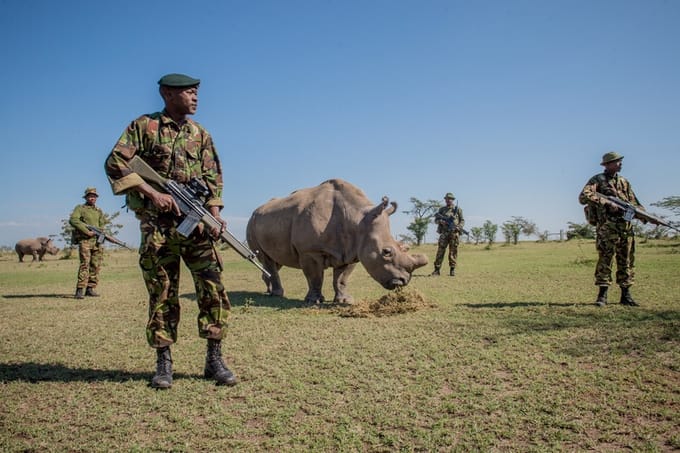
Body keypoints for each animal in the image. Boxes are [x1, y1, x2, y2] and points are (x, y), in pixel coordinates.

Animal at [246, 179, 428, 304]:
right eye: (386, 252)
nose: (403, 281)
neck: (357, 219)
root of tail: (256, 210)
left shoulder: (351, 251)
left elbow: (341, 279)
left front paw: (344, 300)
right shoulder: (310, 251)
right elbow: (315, 277)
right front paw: (313, 301)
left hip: (268, 221)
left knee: (274, 260)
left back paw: (269, 290)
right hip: (252, 222)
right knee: (266, 259)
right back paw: (277, 294)